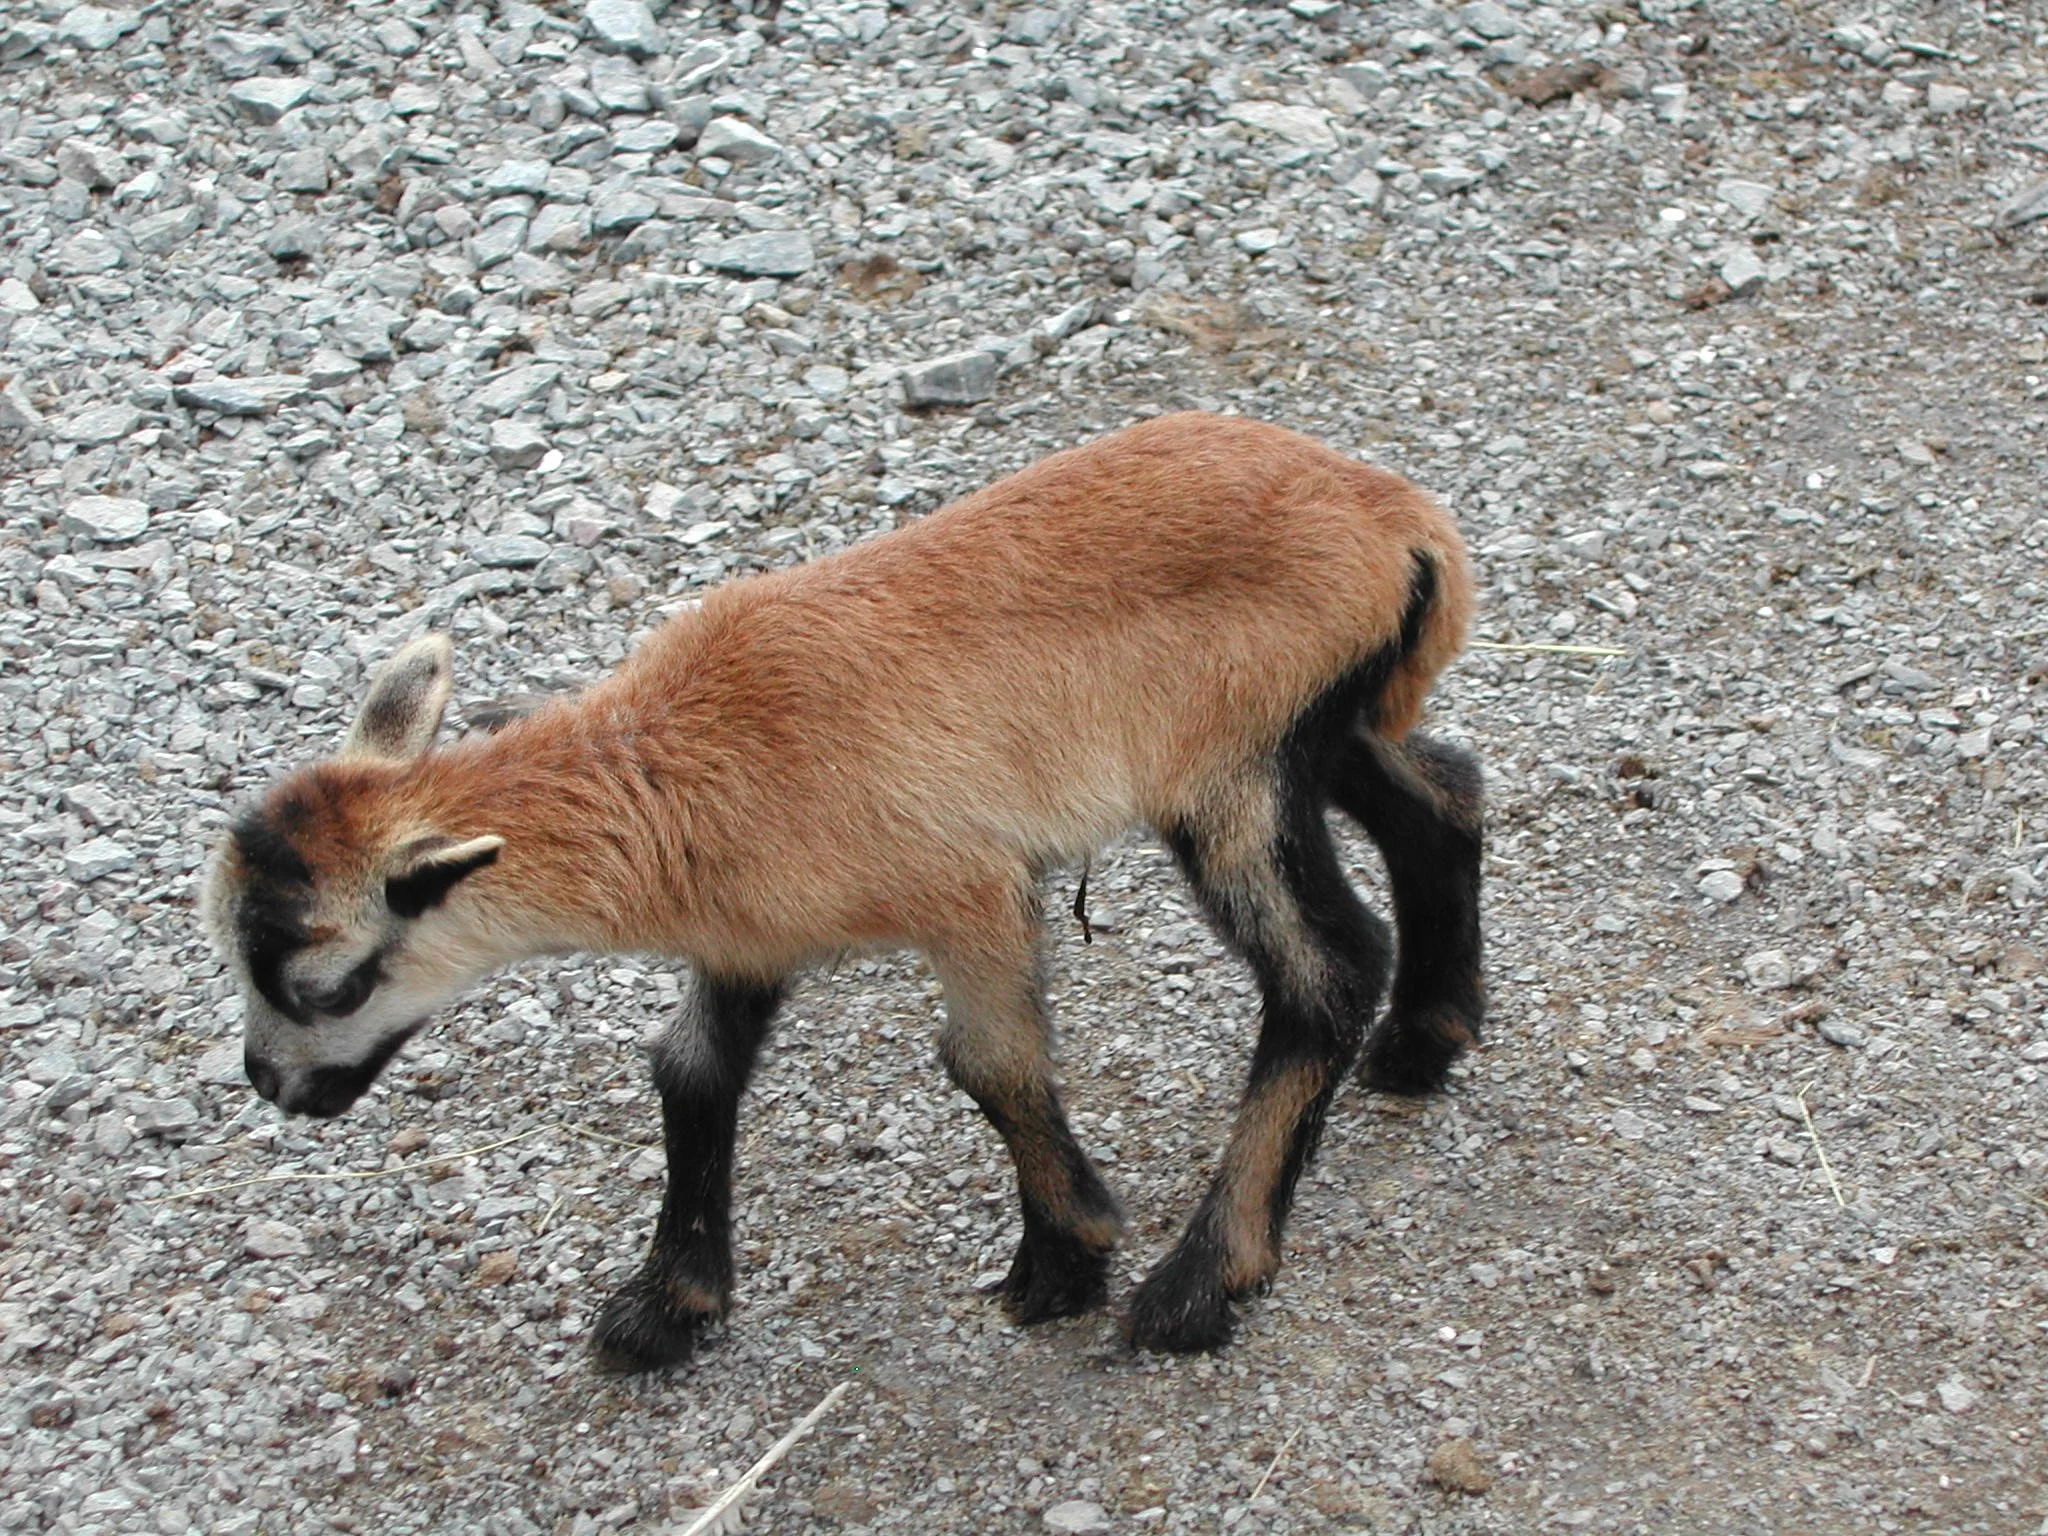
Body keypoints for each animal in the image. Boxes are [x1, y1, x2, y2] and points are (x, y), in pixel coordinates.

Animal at [200, 412, 1485, 1367]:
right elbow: (691, 1072)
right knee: (1443, 803)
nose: (269, 1085)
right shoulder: (747, 934)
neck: (686, 760)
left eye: (324, 984)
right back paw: (1423, 1040)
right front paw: (666, 1308)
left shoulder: (968, 891)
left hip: (1231, 761)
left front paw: (1064, 1263)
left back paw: (1199, 1284)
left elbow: (990, 1065)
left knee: (1325, 969)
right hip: (1325, 722)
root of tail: (1400, 520)